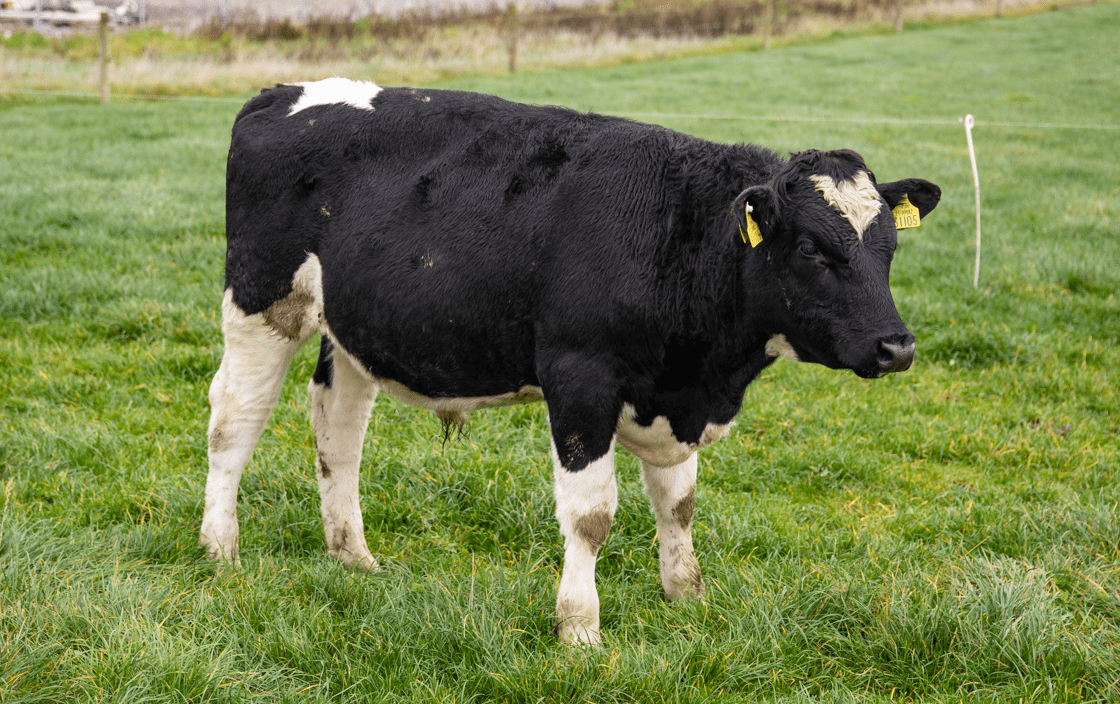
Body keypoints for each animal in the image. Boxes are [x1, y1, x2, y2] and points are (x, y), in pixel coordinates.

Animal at [201, 77, 941, 644]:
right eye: (814, 249)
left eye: (888, 248)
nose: (896, 346)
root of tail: (280, 92)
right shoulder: (581, 377)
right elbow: (592, 516)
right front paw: (580, 628)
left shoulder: (670, 392)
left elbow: (678, 504)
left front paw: (687, 597)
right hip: (261, 304)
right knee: (233, 422)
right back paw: (220, 550)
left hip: (354, 328)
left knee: (339, 427)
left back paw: (353, 556)